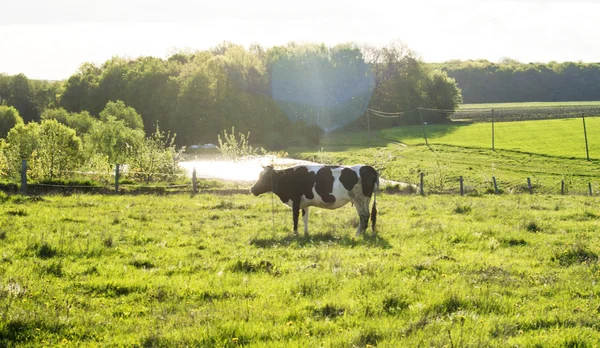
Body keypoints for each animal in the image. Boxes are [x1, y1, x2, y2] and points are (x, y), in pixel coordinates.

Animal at [250, 165, 380, 237]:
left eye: (267, 177)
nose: (252, 189)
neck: (289, 178)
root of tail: (367, 167)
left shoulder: (296, 201)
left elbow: (295, 218)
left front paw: (295, 234)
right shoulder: (304, 203)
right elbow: (305, 218)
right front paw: (306, 233)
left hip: (359, 199)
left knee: (364, 216)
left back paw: (358, 234)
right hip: (365, 200)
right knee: (368, 215)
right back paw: (362, 233)